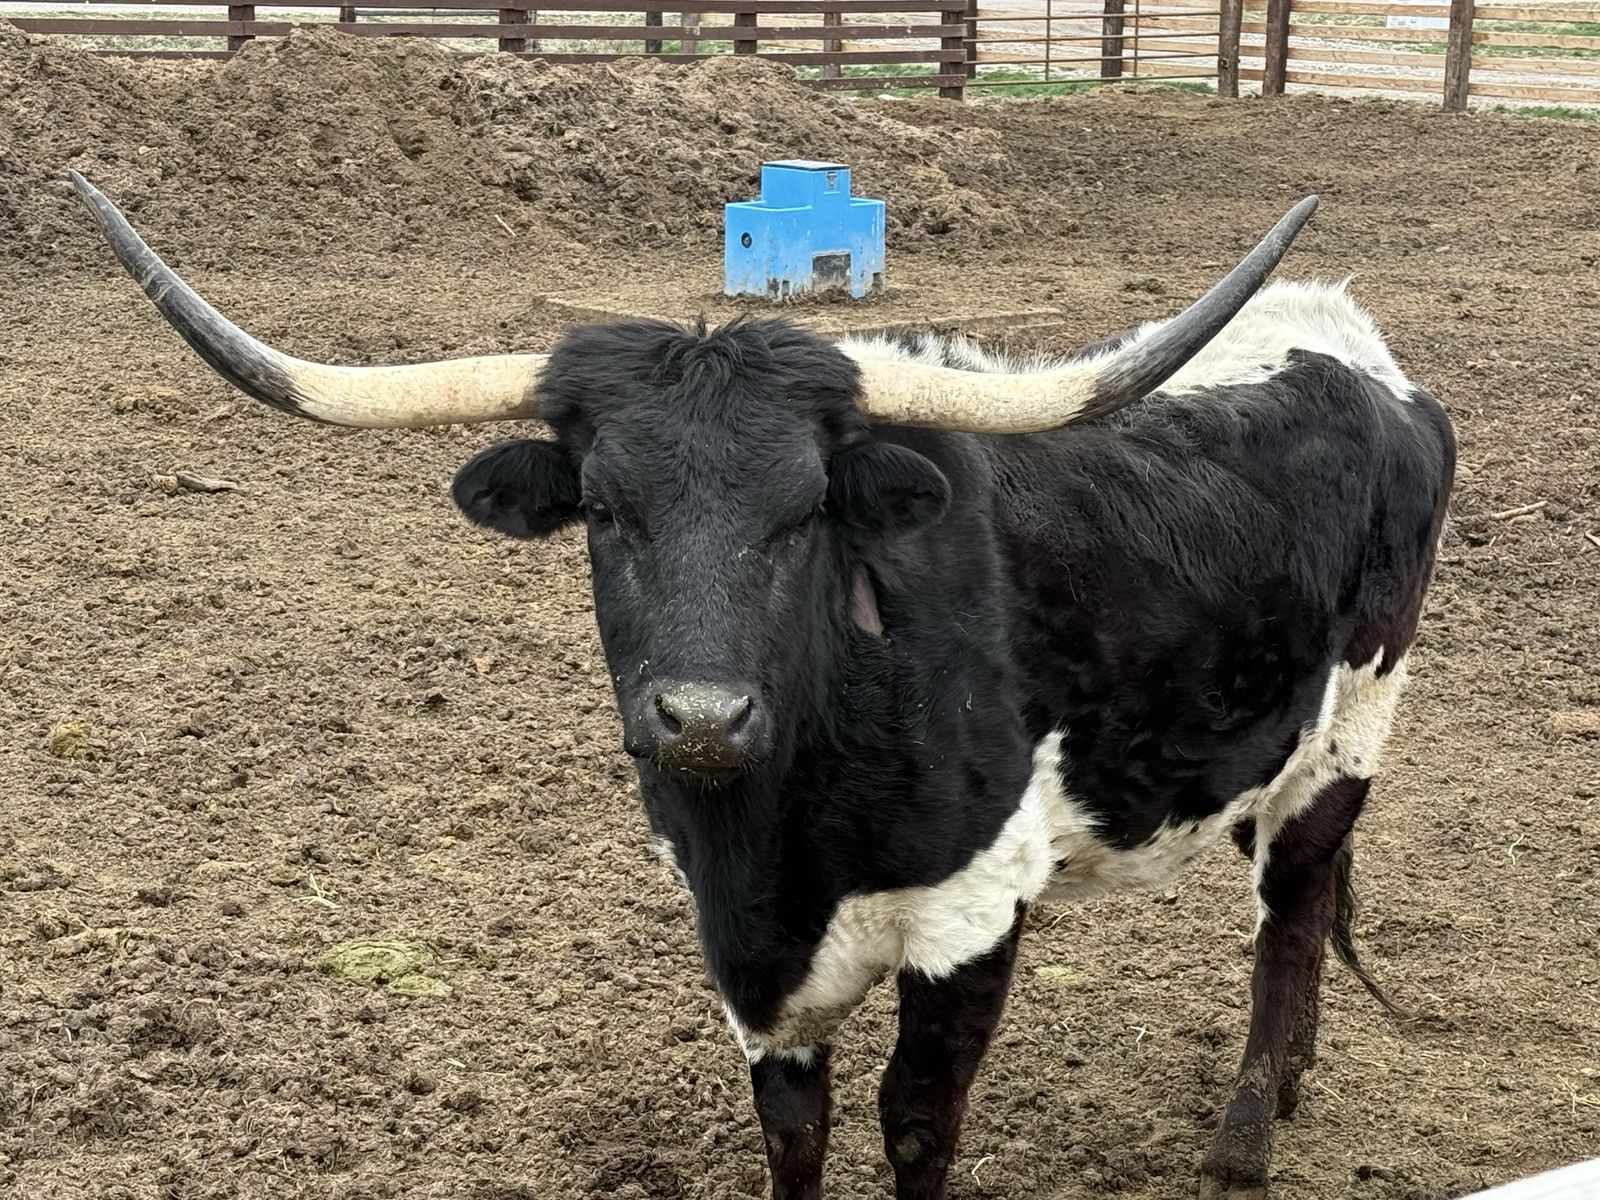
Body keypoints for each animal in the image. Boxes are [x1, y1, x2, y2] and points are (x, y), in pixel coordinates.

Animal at [72, 170, 1455, 1200]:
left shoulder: (970, 915)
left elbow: (915, 1123)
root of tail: (1345, 343)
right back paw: (1291, 1080)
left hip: (1352, 727)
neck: (783, 831)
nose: (701, 716)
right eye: (604, 511)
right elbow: (795, 1129)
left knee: (1291, 911)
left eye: (805, 515)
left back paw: (1245, 1135)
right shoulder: (743, 950)